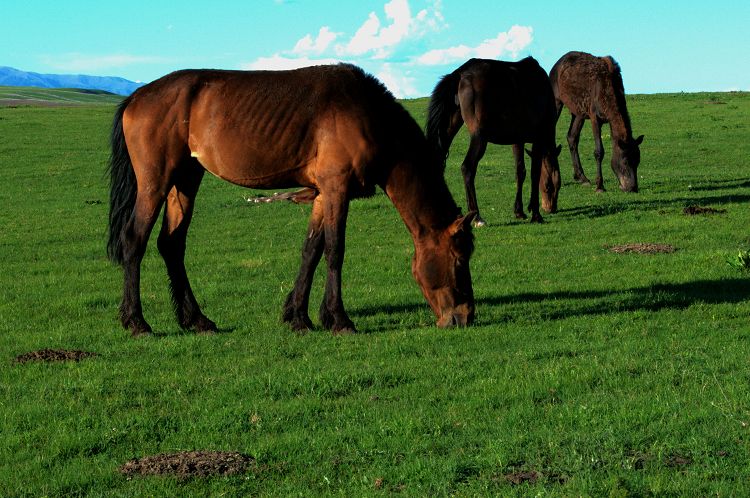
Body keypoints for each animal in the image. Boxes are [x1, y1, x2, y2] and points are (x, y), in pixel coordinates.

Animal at [107, 64, 476, 337]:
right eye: (460, 260)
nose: (466, 317)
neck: (368, 115)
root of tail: (137, 96)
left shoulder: (323, 194)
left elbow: (311, 251)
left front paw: (299, 316)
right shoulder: (337, 188)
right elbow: (335, 251)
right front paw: (339, 319)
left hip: (184, 180)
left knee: (171, 245)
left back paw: (197, 320)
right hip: (155, 183)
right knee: (134, 240)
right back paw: (137, 322)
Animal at [426, 57, 562, 227]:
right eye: (550, 186)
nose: (551, 208)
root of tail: (461, 72)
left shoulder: (517, 141)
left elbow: (520, 172)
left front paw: (519, 211)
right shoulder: (538, 139)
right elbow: (534, 174)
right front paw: (536, 214)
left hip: (449, 129)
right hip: (479, 137)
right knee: (467, 168)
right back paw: (477, 217)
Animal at [549, 51, 644, 192]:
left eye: (637, 161)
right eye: (625, 161)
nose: (632, 187)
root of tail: (556, 65)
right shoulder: (595, 118)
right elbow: (599, 151)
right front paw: (599, 186)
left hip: (579, 112)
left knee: (572, 137)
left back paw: (582, 177)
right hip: (556, 101)